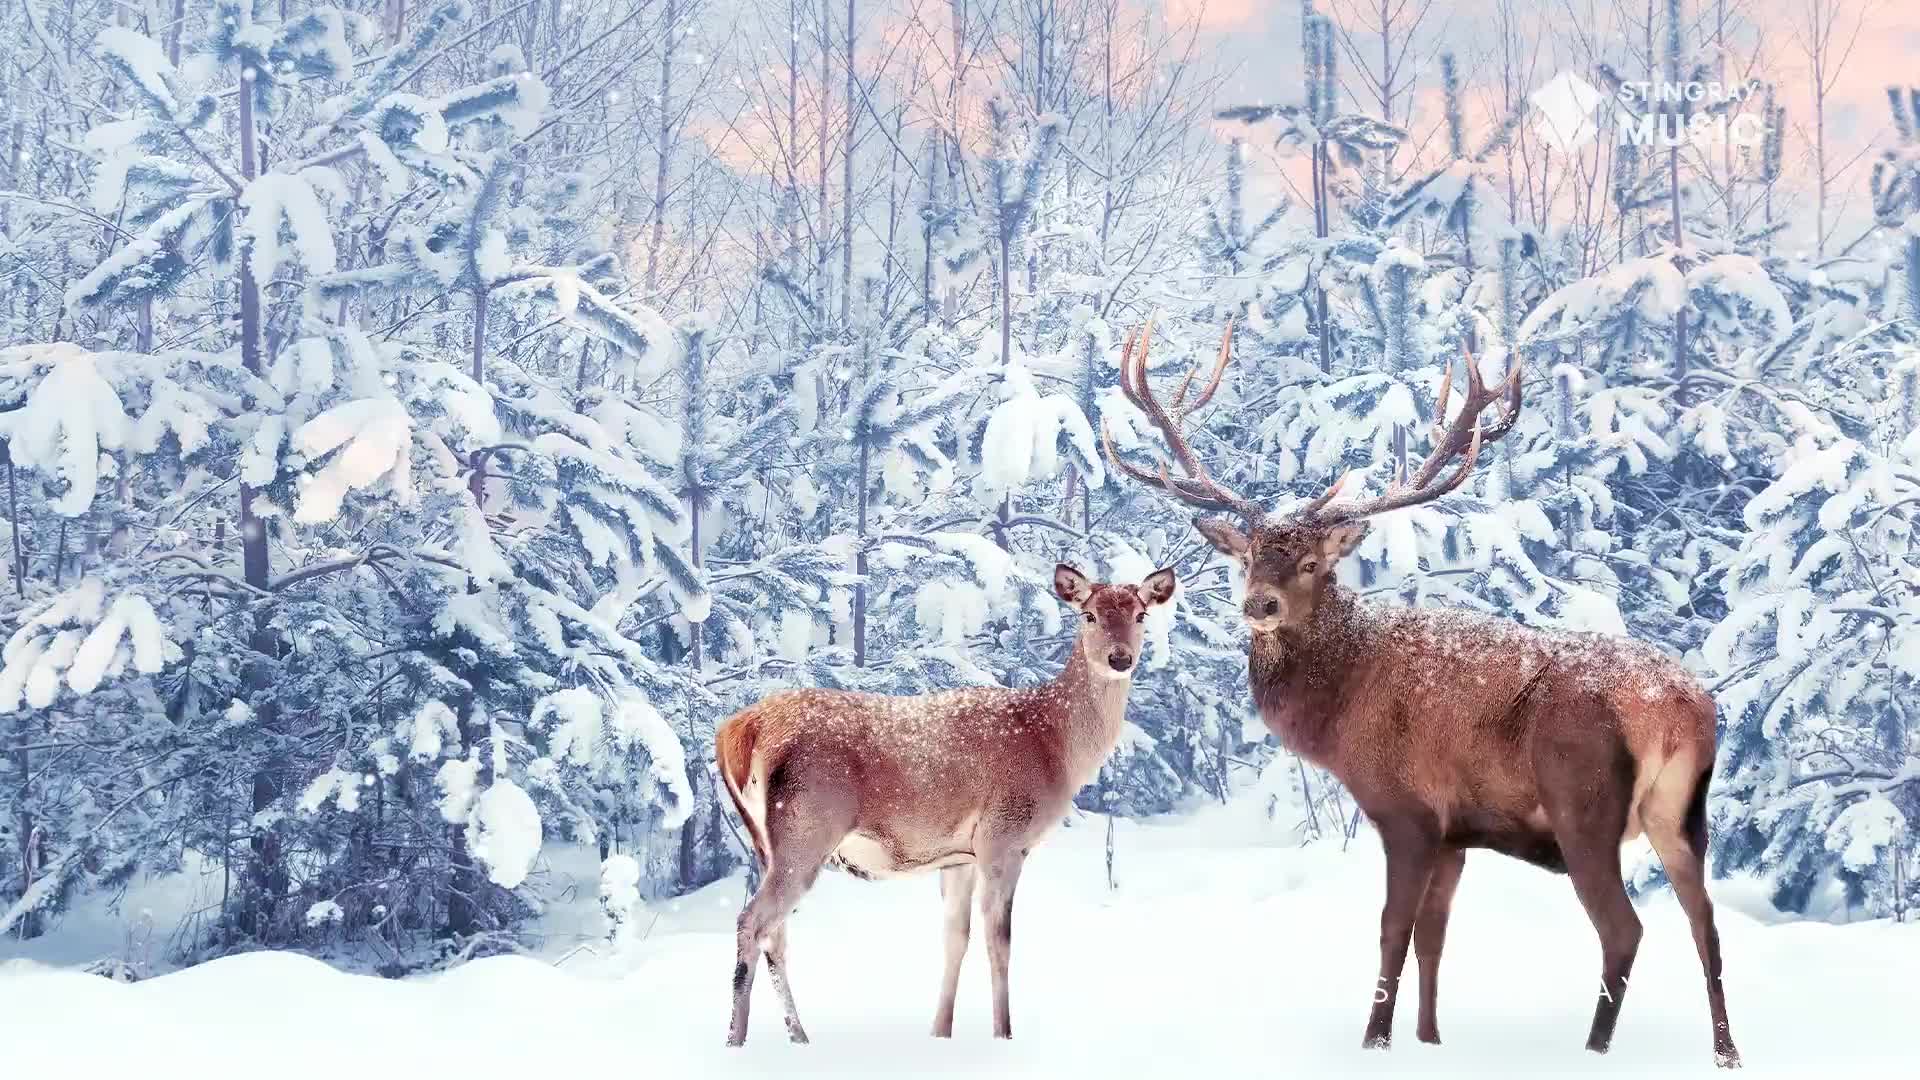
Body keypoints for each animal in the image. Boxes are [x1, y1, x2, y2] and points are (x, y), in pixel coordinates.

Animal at [714, 562, 1178, 1046]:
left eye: (1141, 614)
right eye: (1089, 615)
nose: (1120, 658)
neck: (1053, 746)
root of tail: (737, 731)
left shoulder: (959, 856)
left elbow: (956, 939)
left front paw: (940, 1033)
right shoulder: (1003, 837)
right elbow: (999, 941)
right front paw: (1003, 1034)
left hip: (766, 843)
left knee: (776, 935)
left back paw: (799, 1037)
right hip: (806, 830)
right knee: (752, 922)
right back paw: (736, 1041)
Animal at [1104, 320, 1740, 1068]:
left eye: (1312, 563)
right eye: (1250, 556)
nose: (1259, 605)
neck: (1339, 710)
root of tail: (1683, 709)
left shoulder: (1405, 810)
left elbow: (1393, 931)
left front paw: (1375, 1040)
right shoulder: (1456, 832)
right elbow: (1435, 937)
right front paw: (1430, 1040)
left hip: (1582, 804)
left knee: (1624, 929)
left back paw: (1593, 1049)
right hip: (1683, 816)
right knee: (1706, 924)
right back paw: (1727, 1053)